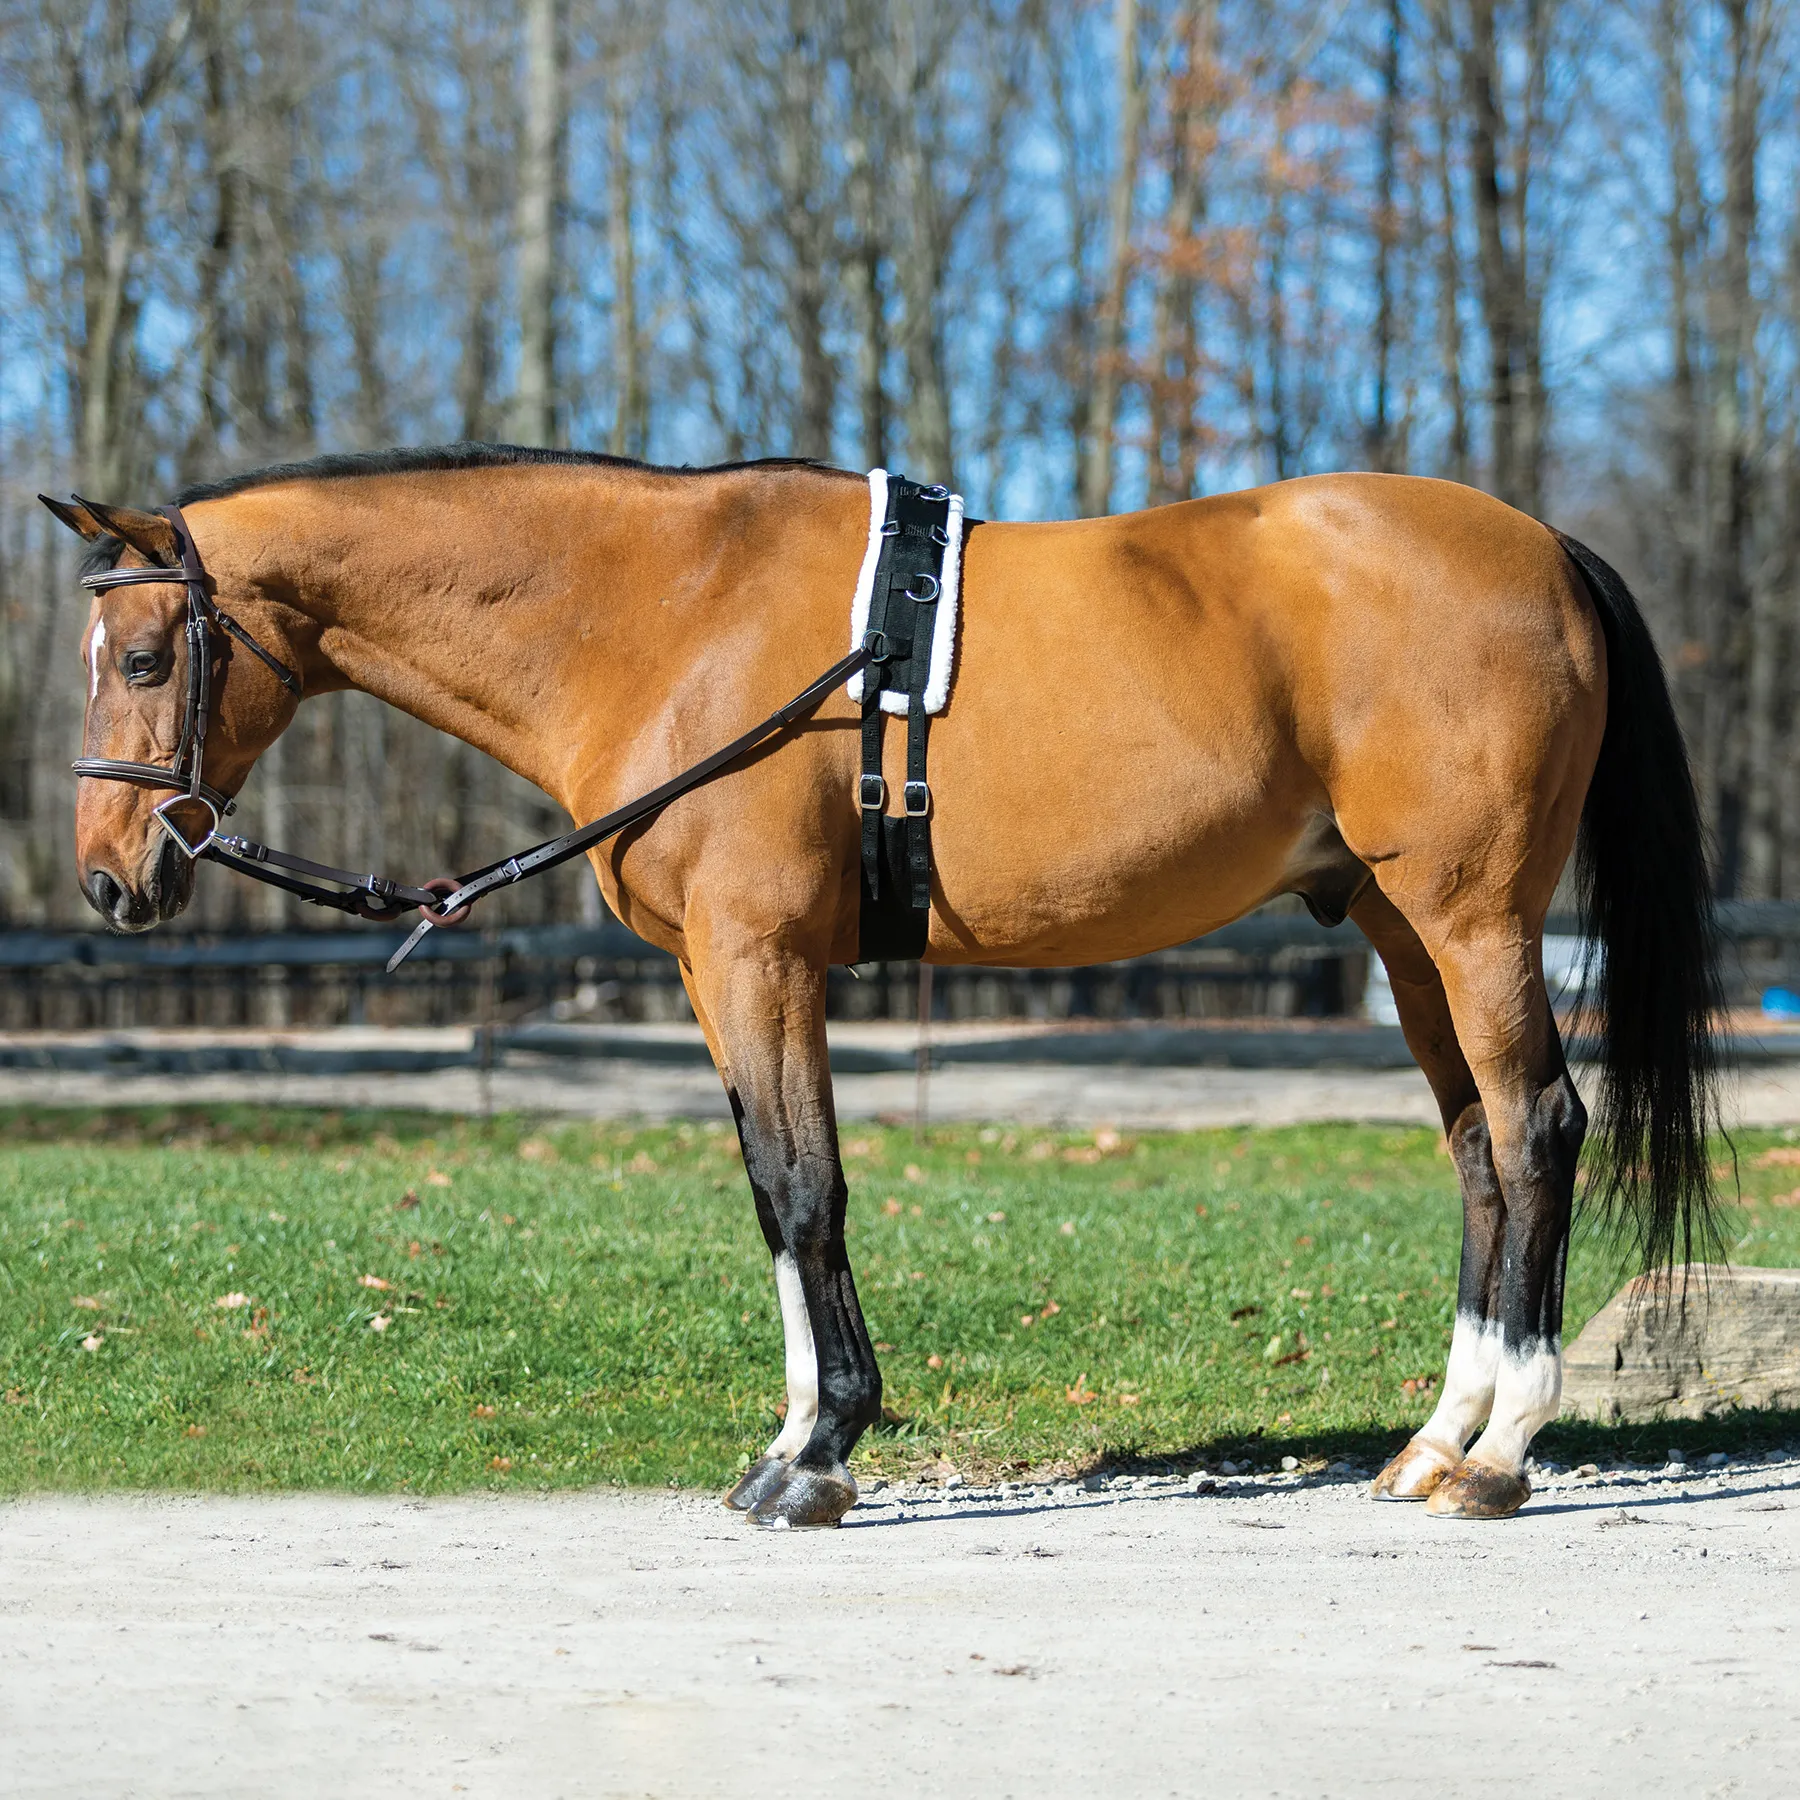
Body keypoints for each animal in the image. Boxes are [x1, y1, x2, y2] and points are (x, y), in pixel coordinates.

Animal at [43, 443, 1720, 1528]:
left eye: (144, 655)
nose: (111, 877)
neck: (662, 616)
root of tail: (1544, 548)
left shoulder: (761, 955)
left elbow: (807, 1190)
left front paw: (818, 1457)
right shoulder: (719, 974)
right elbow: (771, 1196)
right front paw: (792, 1436)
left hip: (1473, 915)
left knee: (1540, 1128)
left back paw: (1502, 1456)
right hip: (1397, 926)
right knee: (1479, 1149)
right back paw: (1438, 1440)